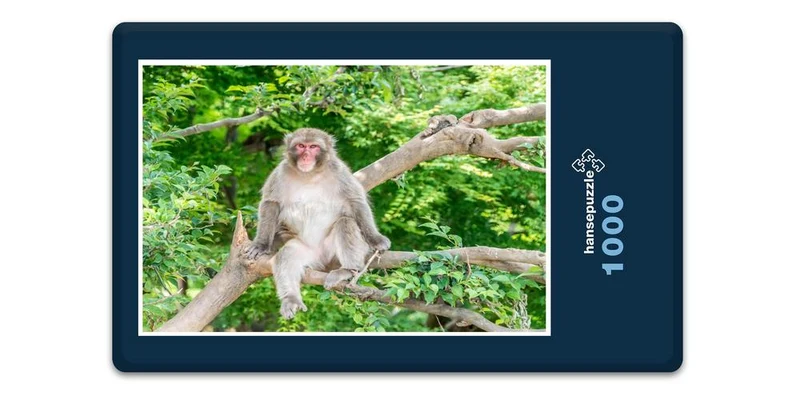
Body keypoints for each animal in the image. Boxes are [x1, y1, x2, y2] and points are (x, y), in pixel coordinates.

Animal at [242, 128, 391, 319]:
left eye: (313, 147)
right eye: (300, 146)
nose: (306, 156)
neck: (309, 175)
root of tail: (323, 259)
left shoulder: (339, 171)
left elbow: (355, 201)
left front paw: (375, 239)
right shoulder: (280, 173)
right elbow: (271, 203)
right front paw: (261, 244)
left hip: (334, 252)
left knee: (345, 223)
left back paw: (348, 270)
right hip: (309, 252)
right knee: (287, 255)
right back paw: (291, 298)